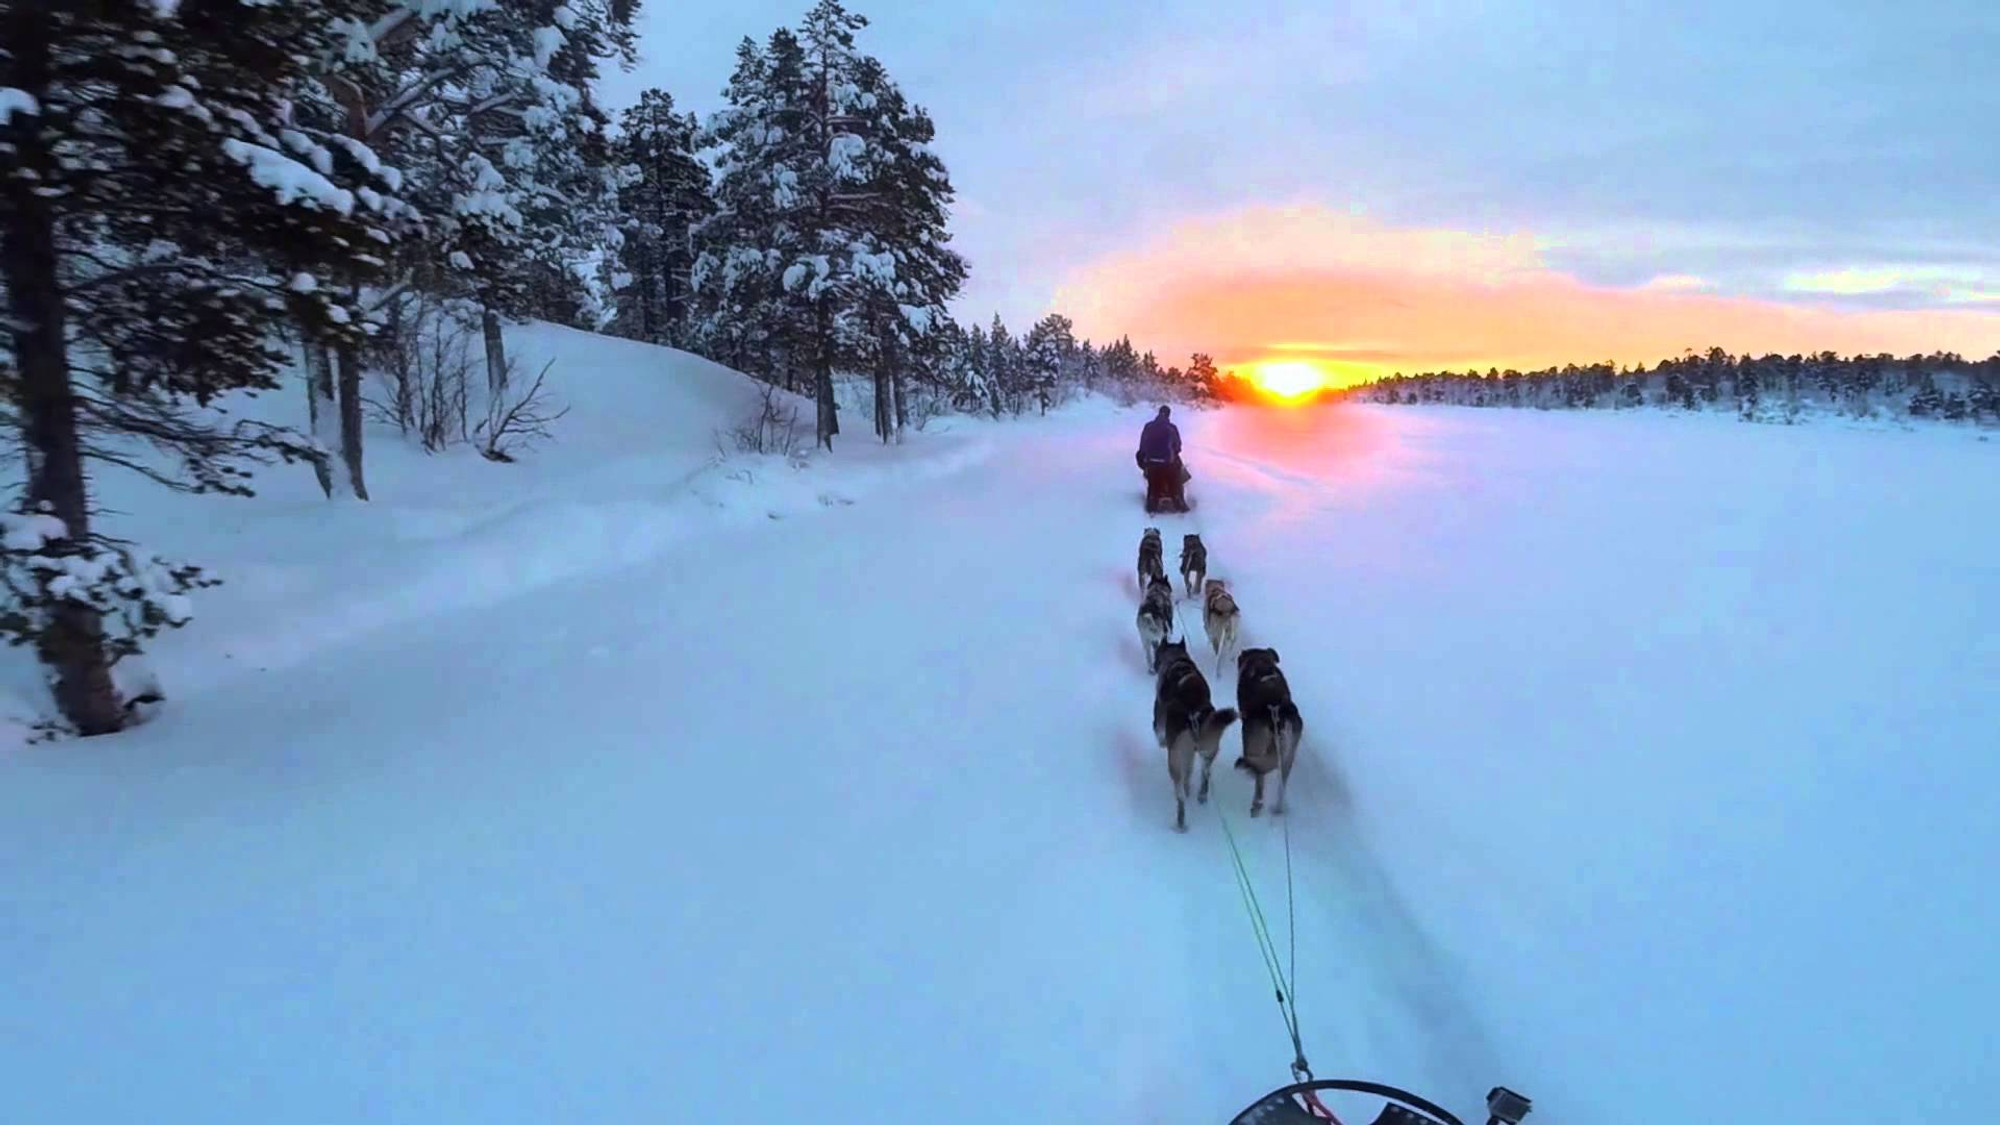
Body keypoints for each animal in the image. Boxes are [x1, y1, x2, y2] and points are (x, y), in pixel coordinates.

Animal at [1160, 636, 1232, 828]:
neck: (1178, 664)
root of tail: (1195, 719)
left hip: (1175, 761)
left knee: (1180, 794)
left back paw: (1180, 822)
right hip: (1208, 752)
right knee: (1203, 774)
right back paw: (1201, 794)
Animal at [1224, 648, 1304, 812]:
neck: (1261, 663)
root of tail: (1280, 721)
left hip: (1256, 746)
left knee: (1259, 778)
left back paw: (1256, 803)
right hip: (1287, 758)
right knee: (1281, 786)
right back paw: (1277, 809)